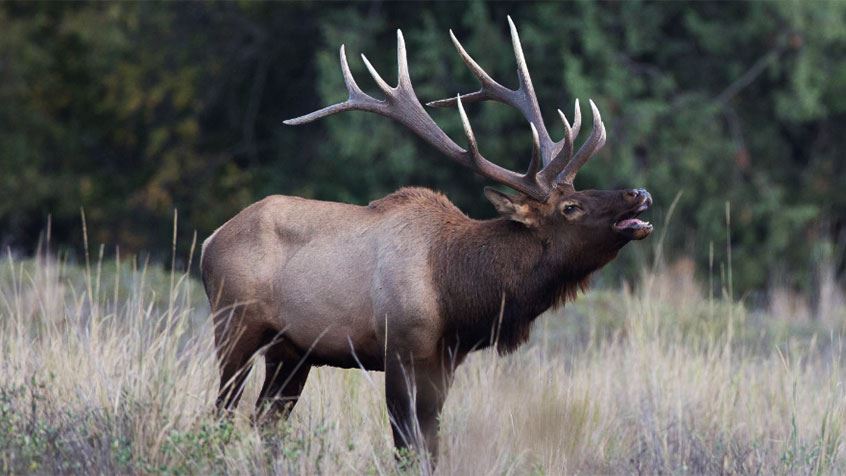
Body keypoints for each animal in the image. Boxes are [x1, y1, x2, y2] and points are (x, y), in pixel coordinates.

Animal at [200, 17, 652, 464]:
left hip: (291, 351)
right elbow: (406, 445)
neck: (457, 294)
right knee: (222, 413)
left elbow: (432, 446)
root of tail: (209, 241)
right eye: (570, 207)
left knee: (265, 421)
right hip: (235, 325)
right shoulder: (400, 348)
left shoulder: (445, 361)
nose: (639, 193)